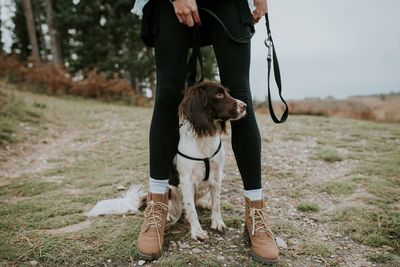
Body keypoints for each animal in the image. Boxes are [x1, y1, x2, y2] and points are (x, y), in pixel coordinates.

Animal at [86, 81, 245, 241]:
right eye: (218, 94)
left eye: (226, 92)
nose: (244, 106)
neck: (203, 137)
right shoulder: (186, 180)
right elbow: (191, 209)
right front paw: (197, 231)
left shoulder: (217, 175)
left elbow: (216, 203)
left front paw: (217, 222)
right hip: (169, 189)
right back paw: (167, 214)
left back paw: (205, 203)